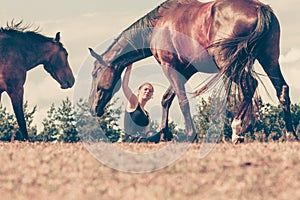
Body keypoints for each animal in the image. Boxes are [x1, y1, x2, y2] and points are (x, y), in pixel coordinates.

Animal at [88, 0, 296, 144]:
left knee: (249, 85)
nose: (93, 107)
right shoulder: (184, 70)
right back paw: (290, 134)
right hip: (269, 59)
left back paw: (237, 131)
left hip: (228, 64)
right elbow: (167, 98)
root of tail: (260, 8)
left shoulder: (169, 66)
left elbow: (181, 100)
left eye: (95, 72)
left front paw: (189, 136)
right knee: (282, 90)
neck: (159, 24)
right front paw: (164, 134)